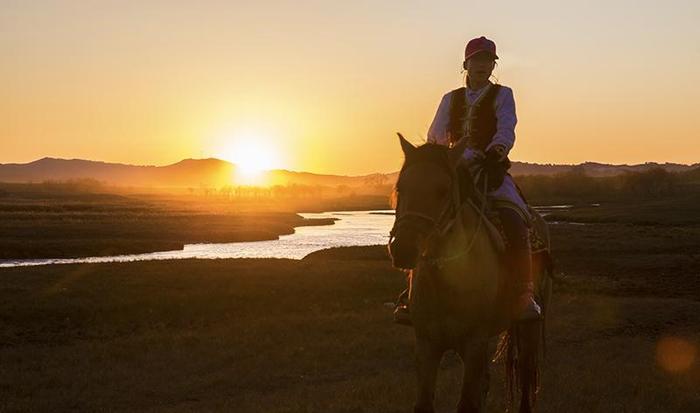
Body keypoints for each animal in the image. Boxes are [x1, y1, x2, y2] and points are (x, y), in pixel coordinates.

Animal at [386, 133, 548, 412]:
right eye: (401, 188)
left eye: (443, 191)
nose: (403, 249)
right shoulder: (427, 345)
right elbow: (425, 404)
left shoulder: (474, 342)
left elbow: (467, 404)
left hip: (528, 329)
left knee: (526, 378)